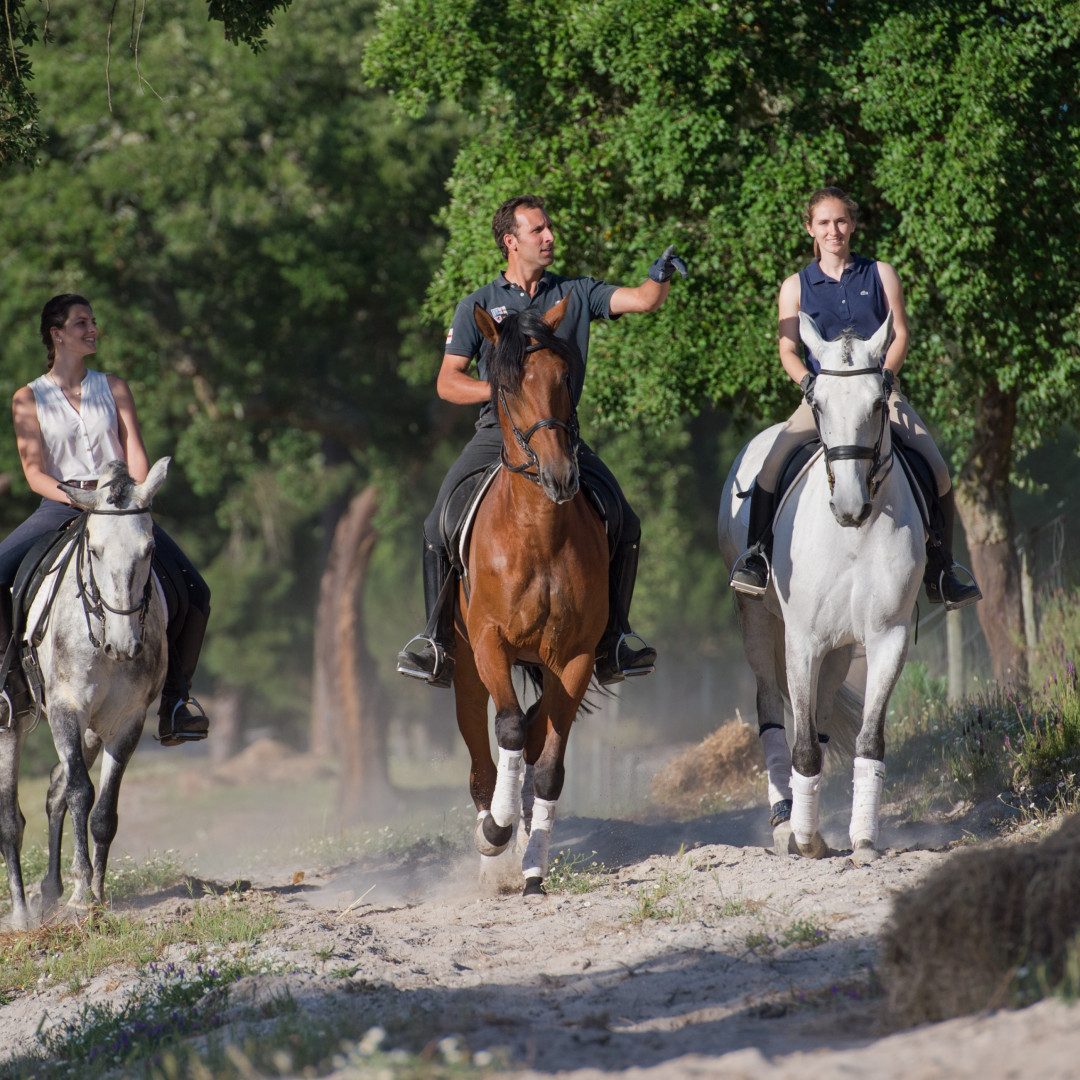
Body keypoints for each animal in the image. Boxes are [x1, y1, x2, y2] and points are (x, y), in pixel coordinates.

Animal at [0, 458, 169, 927]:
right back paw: (22, 915)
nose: (125, 646)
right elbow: (81, 793)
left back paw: (48, 891)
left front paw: (94, 892)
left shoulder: (127, 721)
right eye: (94, 550)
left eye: (150, 549)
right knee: (12, 819)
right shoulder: (65, 710)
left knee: (54, 789)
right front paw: (79, 895)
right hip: (10, 724)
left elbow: (103, 811)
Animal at [452, 297, 609, 898]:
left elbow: (549, 767)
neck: (539, 532)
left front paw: (534, 869)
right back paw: (491, 847)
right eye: (509, 385)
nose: (562, 476)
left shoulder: (576, 657)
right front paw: (496, 833)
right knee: (484, 756)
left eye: (565, 377)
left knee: (536, 732)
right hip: (465, 670)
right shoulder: (488, 644)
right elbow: (511, 729)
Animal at [718, 312, 924, 863]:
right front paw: (804, 840)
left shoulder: (887, 637)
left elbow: (868, 740)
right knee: (772, 708)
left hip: (840, 645)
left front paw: (864, 841)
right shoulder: (802, 640)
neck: (853, 534)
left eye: (879, 403)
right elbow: (803, 745)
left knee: (826, 710)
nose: (849, 506)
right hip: (757, 622)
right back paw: (782, 818)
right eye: (818, 404)